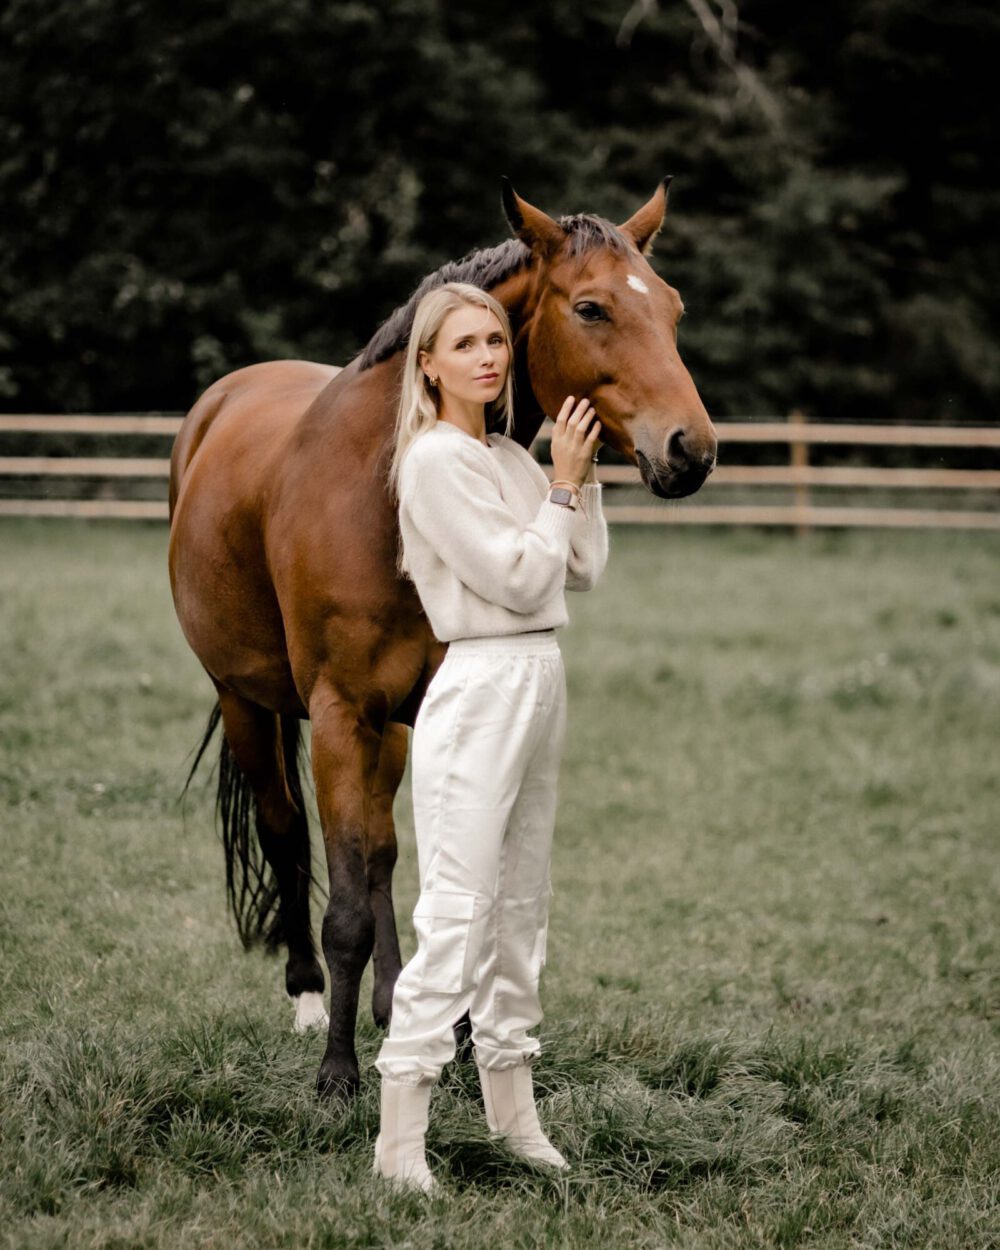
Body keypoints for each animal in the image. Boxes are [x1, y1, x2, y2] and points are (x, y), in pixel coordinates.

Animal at [168, 179, 718, 1100]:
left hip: (386, 728)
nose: (693, 450)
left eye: (672, 308)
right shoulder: (341, 713)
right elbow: (345, 903)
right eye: (593, 307)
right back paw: (311, 1000)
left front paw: (451, 1040)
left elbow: (436, 875)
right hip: (246, 702)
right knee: (289, 836)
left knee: (383, 856)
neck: (385, 483)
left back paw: (398, 1004)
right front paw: (337, 1077)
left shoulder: (420, 708)